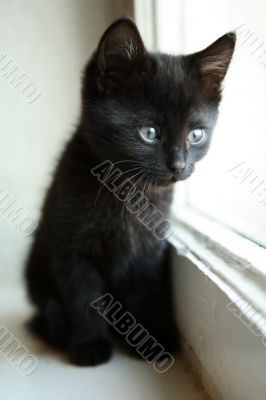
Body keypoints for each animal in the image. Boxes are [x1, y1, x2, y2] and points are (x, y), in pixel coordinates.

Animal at [25, 20, 235, 368]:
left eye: (196, 134)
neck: (126, 194)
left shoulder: (149, 250)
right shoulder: (70, 248)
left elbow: (146, 292)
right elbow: (83, 296)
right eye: (149, 133)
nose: (178, 166)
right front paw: (90, 345)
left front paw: (150, 342)